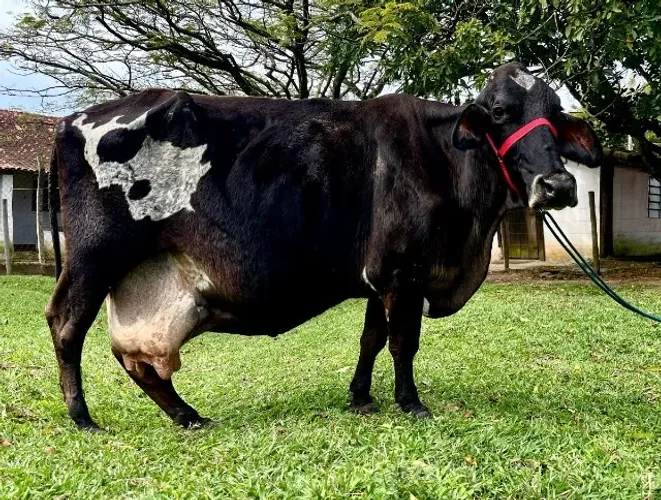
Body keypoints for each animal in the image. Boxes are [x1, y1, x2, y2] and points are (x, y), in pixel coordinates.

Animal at [46, 62, 601, 429]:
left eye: (555, 113)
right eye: (500, 112)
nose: (557, 186)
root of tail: (72, 120)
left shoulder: (382, 278)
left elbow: (371, 339)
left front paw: (360, 396)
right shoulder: (403, 273)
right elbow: (403, 342)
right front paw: (410, 403)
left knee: (138, 359)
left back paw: (187, 415)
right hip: (94, 257)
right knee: (67, 325)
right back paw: (83, 416)